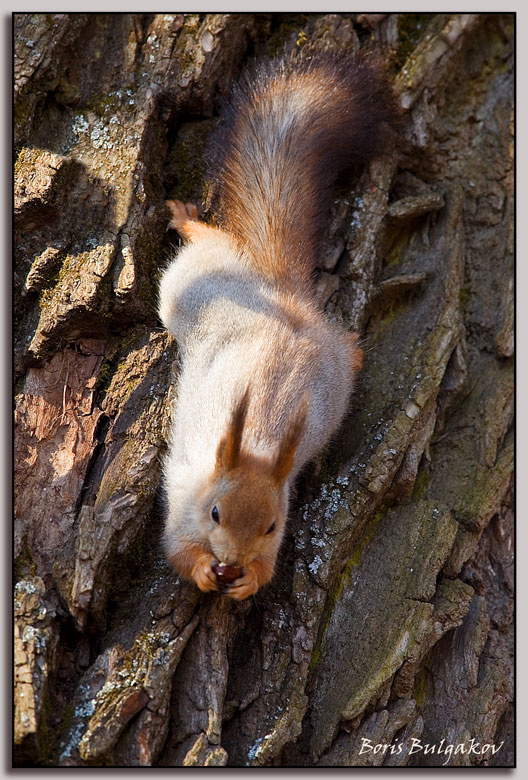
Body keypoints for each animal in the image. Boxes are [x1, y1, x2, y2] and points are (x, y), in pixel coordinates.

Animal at [158, 48, 398, 600]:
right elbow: (176, 550)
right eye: (215, 512)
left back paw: (354, 348)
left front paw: (249, 580)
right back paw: (186, 220)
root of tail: (279, 292)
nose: (231, 561)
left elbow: (267, 570)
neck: (258, 447)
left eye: (272, 526)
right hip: (189, 288)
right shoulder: (181, 505)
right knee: (208, 242)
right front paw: (202, 570)